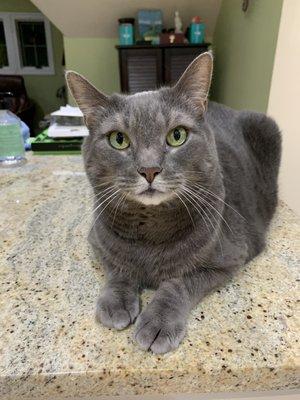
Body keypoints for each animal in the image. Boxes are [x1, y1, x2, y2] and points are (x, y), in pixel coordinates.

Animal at [66, 52, 282, 354]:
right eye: (118, 139)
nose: (149, 170)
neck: (150, 230)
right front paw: (116, 302)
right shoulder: (96, 241)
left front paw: (158, 322)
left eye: (177, 135)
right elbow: (117, 267)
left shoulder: (231, 256)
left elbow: (181, 282)